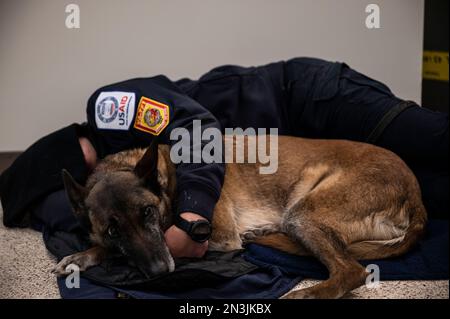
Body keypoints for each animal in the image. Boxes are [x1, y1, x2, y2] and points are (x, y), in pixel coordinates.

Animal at [51, 136, 426, 300]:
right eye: (113, 230)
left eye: (148, 213)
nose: (159, 272)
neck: (169, 179)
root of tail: (415, 190)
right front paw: (82, 256)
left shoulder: (216, 238)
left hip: (302, 213)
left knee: (352, 271)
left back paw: (306, 294)